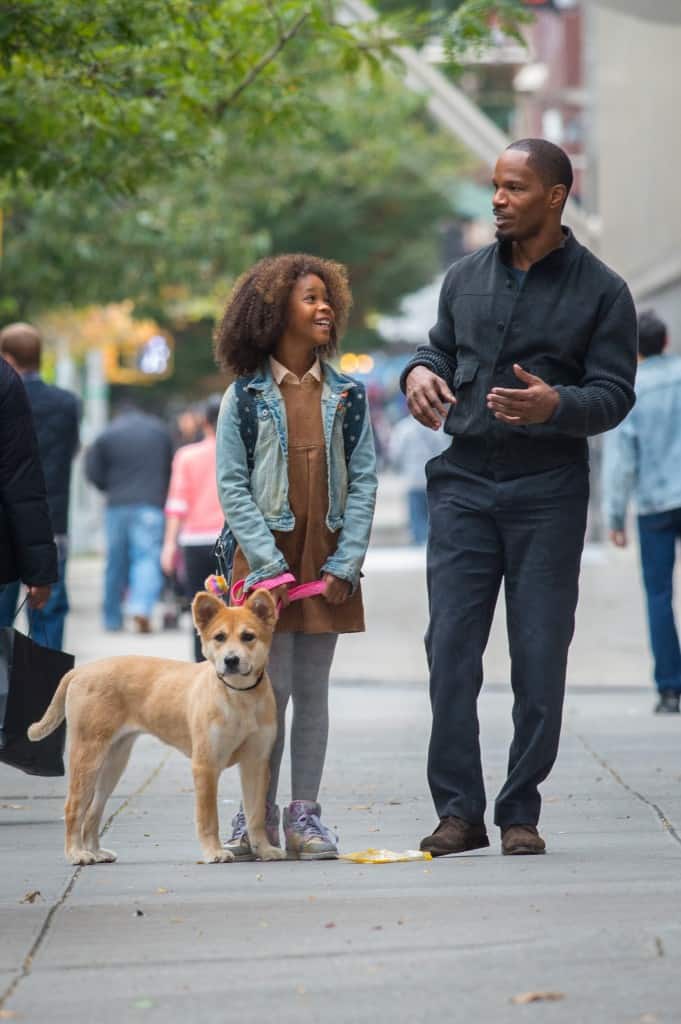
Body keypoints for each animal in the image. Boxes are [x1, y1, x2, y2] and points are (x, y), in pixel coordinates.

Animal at [28, 593, 284, 864]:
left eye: (248, 636)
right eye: (220, 637)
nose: (231, 660)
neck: (239, 697)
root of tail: (80, 670)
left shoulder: (256, 763)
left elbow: (255, 814)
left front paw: (264, 849)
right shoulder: (205, 764)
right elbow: (208, 818)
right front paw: (213, 852)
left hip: (113, 763)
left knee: (93, 811)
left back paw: (96, 851)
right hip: (87, 756)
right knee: (74, 808)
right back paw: (77, 853)